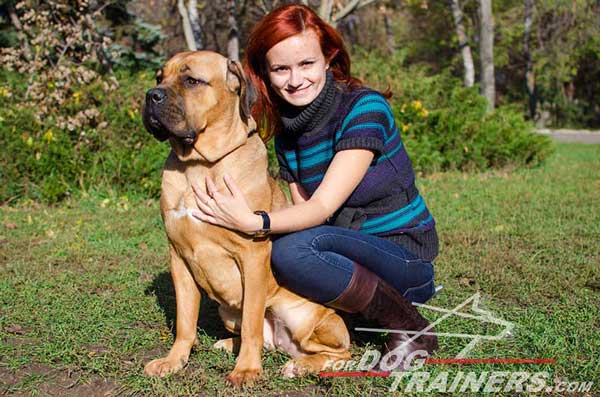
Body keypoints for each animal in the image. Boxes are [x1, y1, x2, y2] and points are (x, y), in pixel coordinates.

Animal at [141, 51, 352, 386]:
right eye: (158, 78)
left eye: (191, 80)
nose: (151, 96)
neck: (198, 165)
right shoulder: (178, 256)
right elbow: (185, 321)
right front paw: (174, 361)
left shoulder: (252, 256)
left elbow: (253, 319)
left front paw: (246, 370)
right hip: (228, 313)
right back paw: (229, 344)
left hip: (307, 319)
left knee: (340, 352)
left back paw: (300, 365)